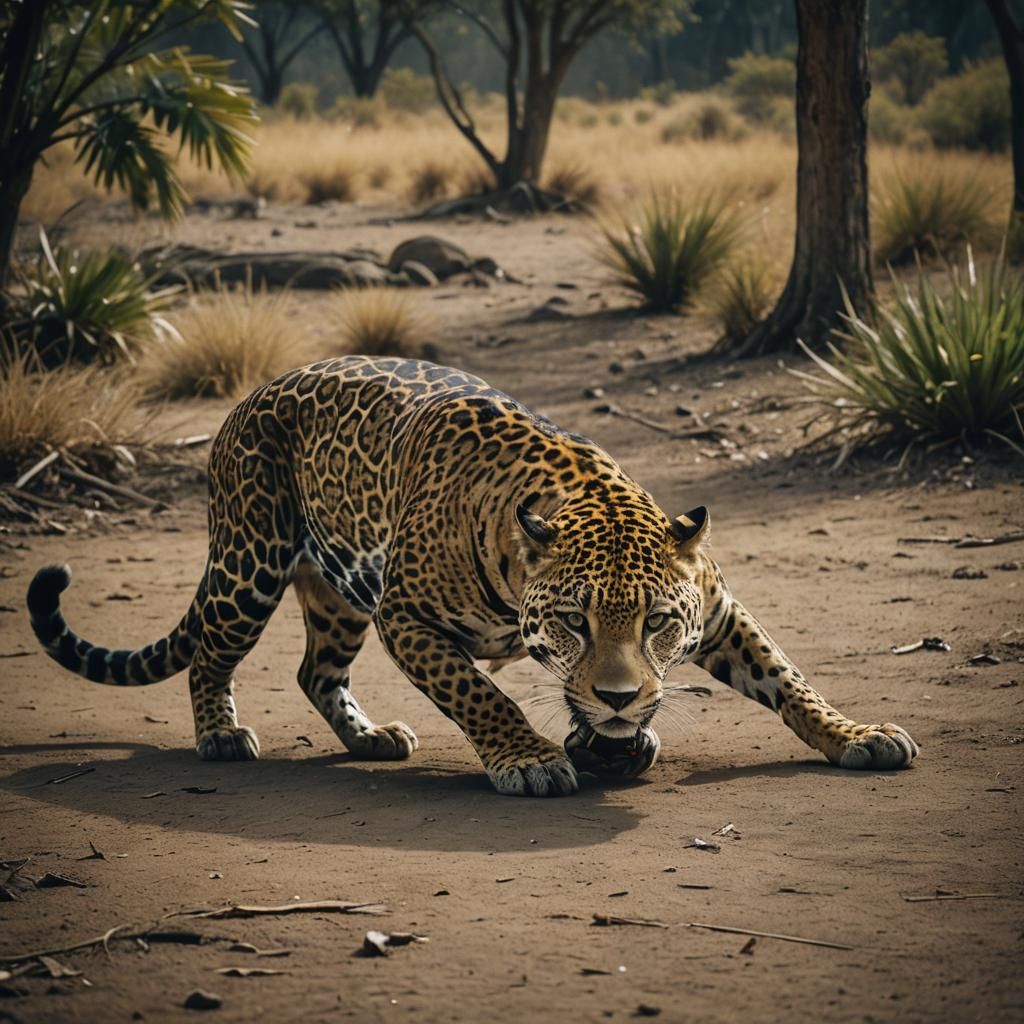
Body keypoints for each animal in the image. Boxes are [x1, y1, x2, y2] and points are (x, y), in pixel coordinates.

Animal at [27, 357, 919, 797]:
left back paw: (370, 738)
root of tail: (249, 398)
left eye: (659, 623)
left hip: (340, 597)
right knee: (214, 654)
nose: (620, 697)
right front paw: (531, 759)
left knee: (315, 670)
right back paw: (220, 734)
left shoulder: (720, 608)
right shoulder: (408, 617)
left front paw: (856, 735)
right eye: (574, 622)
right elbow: (481, 695)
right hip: (251, 559)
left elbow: (787, 677)